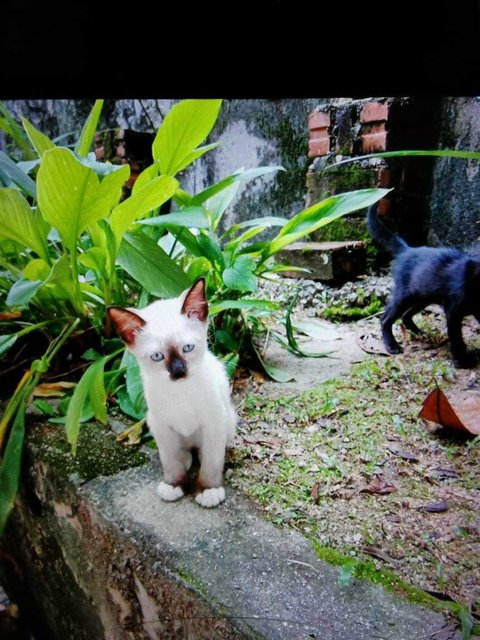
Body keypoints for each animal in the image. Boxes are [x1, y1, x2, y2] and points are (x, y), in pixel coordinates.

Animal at [108, 278, 237, 508]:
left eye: (187, 348)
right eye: (157, 356)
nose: (178, 372)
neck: (180, 392)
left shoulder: (213, 422)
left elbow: (212, 462)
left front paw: (208, 490)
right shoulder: (161, 425)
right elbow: (169, 461)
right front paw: (174, 485)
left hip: (226, 419)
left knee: (206, 450)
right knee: (181, 453)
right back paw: (185, 459)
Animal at [368, 202, 480, 368]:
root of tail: (407, 249)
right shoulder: (453, 310)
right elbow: (456, 336)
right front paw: (460, 359)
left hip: (422, 296)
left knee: (406, 315)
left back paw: (421, 333)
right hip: (404, 295)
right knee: (385, 318)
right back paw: (392, 346)